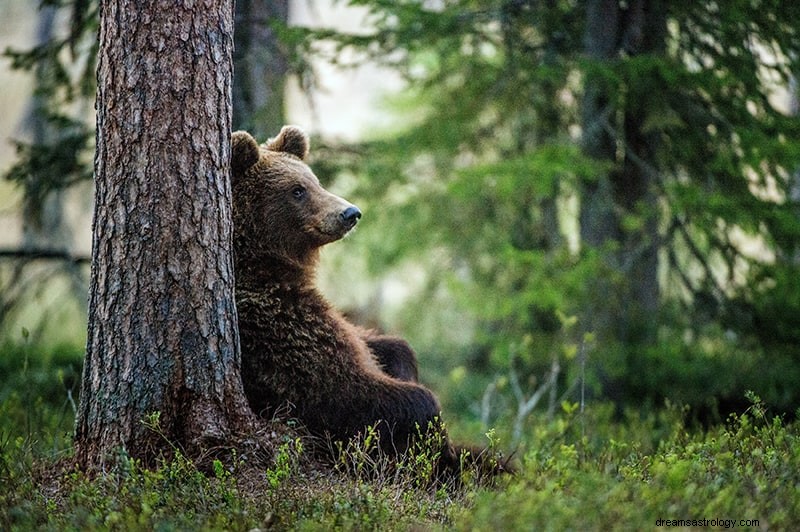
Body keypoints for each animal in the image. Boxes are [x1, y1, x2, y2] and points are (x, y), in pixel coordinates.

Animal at [228, 127, 462, 476]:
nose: (350, 213)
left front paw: (402, 362)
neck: (267, 268)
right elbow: (347, 391)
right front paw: (439, 451)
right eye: (297, 191)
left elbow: (382, 345)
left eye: (314, 181)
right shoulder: (281, 333)